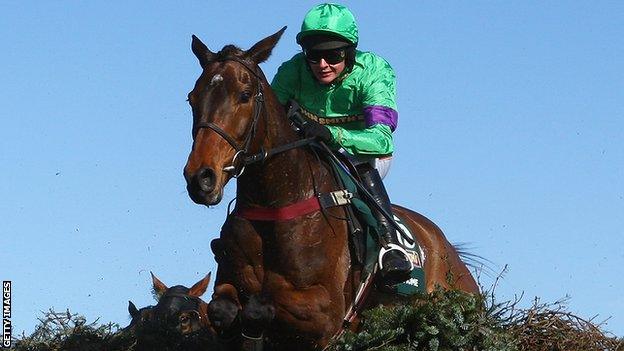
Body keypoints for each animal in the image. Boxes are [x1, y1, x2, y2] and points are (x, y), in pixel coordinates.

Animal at [183, 26, 480, 350]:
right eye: (192, 98)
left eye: (245, 95)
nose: (200, 178)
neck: (276, 204)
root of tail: (449, 252)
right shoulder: (227, 284)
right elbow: (222, 309)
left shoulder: (325, 315)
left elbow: (259, 306)